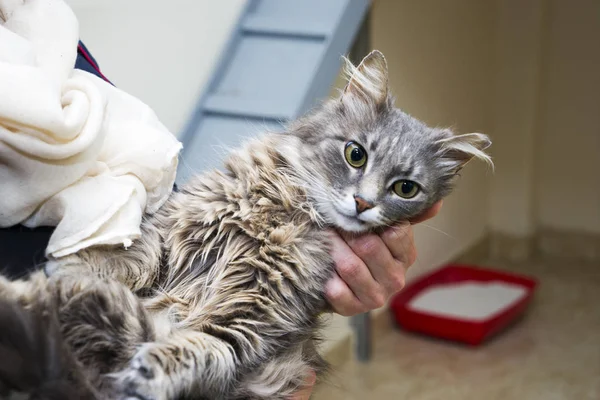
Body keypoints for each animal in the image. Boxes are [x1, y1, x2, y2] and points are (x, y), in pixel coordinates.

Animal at [0, 50, 490, 400]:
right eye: (356, 154)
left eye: (405, 189)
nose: (363, 203)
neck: (285, 211)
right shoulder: (180, 225)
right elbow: (139, 256)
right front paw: (78, 266)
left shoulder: (251, 316)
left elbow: (201, 346)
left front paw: (151, 366)